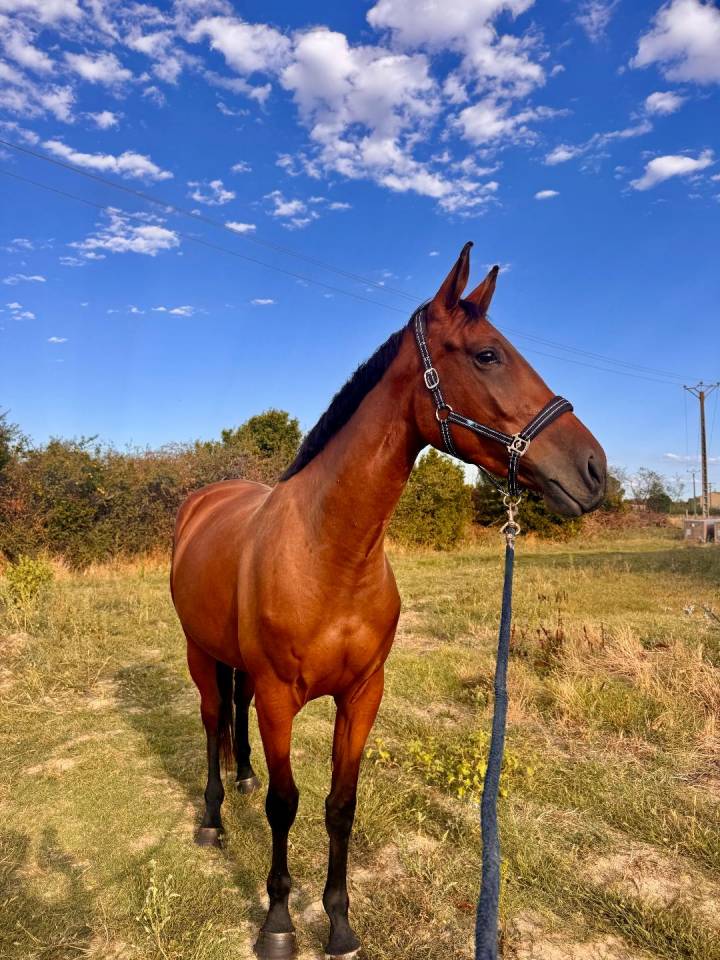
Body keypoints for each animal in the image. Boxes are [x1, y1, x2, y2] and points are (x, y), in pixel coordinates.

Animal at [170, 243, 606, 959]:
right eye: (488, 354)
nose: (594, 469)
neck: (330, 553)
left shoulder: (363, 695)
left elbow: (340, 805)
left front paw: (340, 922)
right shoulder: (281, 699)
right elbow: (286, 806)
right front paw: (279, 921)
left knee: (232, 715)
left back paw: (243, 778)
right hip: (198, 651)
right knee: (211, 722)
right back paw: (211, 817)